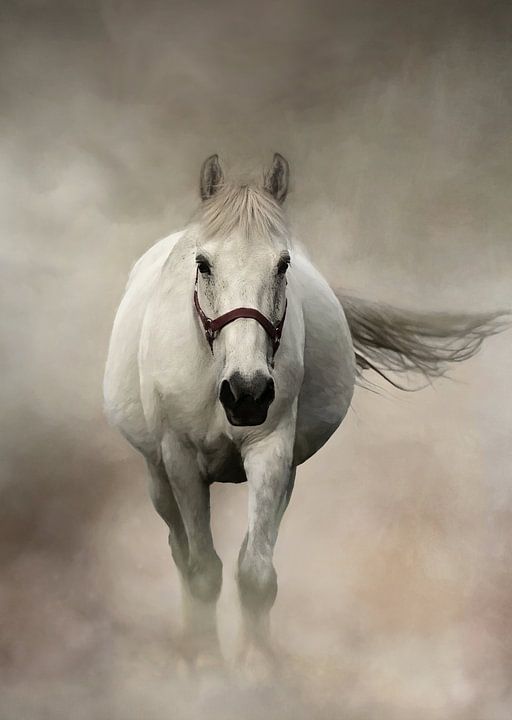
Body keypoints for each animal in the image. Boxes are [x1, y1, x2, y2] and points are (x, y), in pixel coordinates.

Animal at [103, 153, 506, 670]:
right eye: (203, 263)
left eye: (283, 263)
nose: (247, 393)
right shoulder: (182, 461)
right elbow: (202, 570)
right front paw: (208, 663)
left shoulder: (273, 451)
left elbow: (256, 574)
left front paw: (256, 667)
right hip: (157, 474)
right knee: (179, 549)